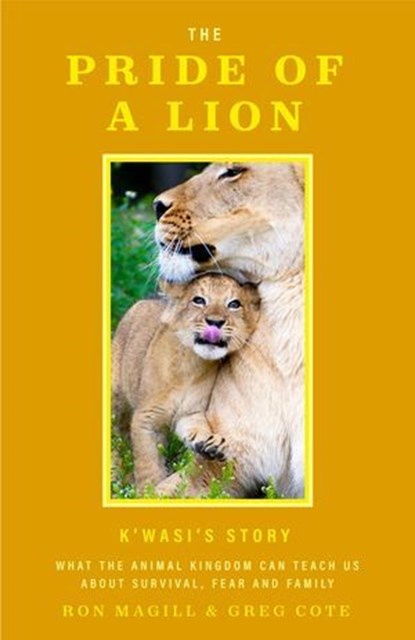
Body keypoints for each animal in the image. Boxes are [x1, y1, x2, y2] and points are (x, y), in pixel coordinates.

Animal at [111, 272, 260, 494]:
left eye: (234, 304)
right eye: (199, 300)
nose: (215, 322)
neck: (191, 366)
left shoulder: (190, 413)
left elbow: (198, 428)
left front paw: (210, 442)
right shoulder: (146, 418)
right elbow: (148, 463)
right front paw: (148, 491)